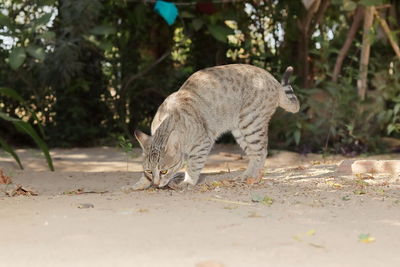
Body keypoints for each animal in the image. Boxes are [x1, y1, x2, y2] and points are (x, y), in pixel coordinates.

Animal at [131, 64, 300, 191]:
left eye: (164, 171)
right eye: (149, 171)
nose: (156, 184)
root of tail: (273, 80)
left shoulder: (202, 143)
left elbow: (193, 165)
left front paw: (188, 182)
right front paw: (141, 183)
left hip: (251, 123)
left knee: (261, 152)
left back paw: (250, 177)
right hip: (240, 130)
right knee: (254, 153)